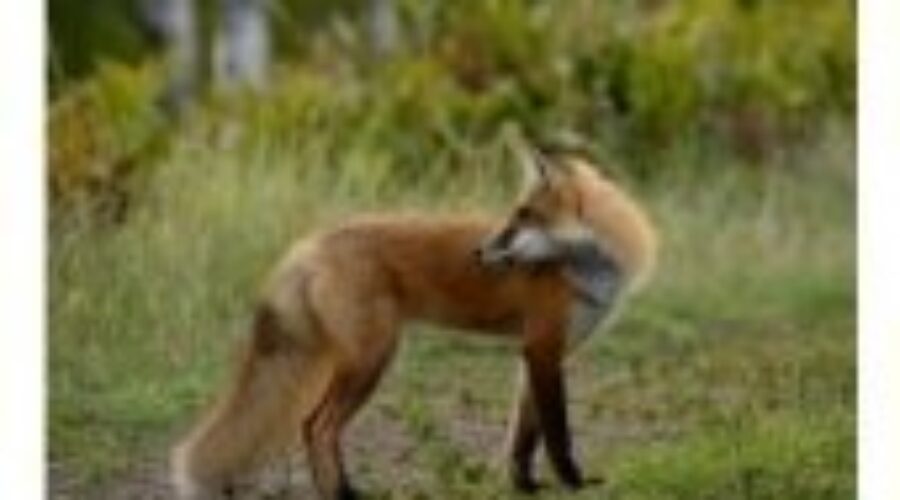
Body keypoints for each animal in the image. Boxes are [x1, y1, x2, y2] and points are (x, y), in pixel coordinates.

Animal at [171, 140, 658, 500]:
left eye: (523, 216)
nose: (480, 252)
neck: (585, 267)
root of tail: (311, 242)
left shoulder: (541, 354)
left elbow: (524, 434)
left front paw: (525, 486)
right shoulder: (542, 347)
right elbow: (557, 432)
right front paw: (573, 483)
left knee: (313, 427)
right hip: (371, 358)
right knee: (316, 426)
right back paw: (345, 495)